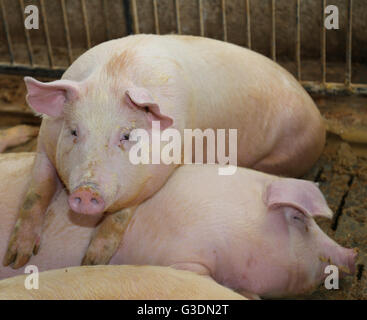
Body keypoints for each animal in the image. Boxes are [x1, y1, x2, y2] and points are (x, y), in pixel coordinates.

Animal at [2, 33, 324, 268]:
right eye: (73, 131)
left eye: (127, 135)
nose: (85, 192)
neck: (114, 74)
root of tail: (318, 120)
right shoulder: (45, 143)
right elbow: (36, 192)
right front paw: (16, 259)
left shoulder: (158, 173)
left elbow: (121, 214)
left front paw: (92, 262)